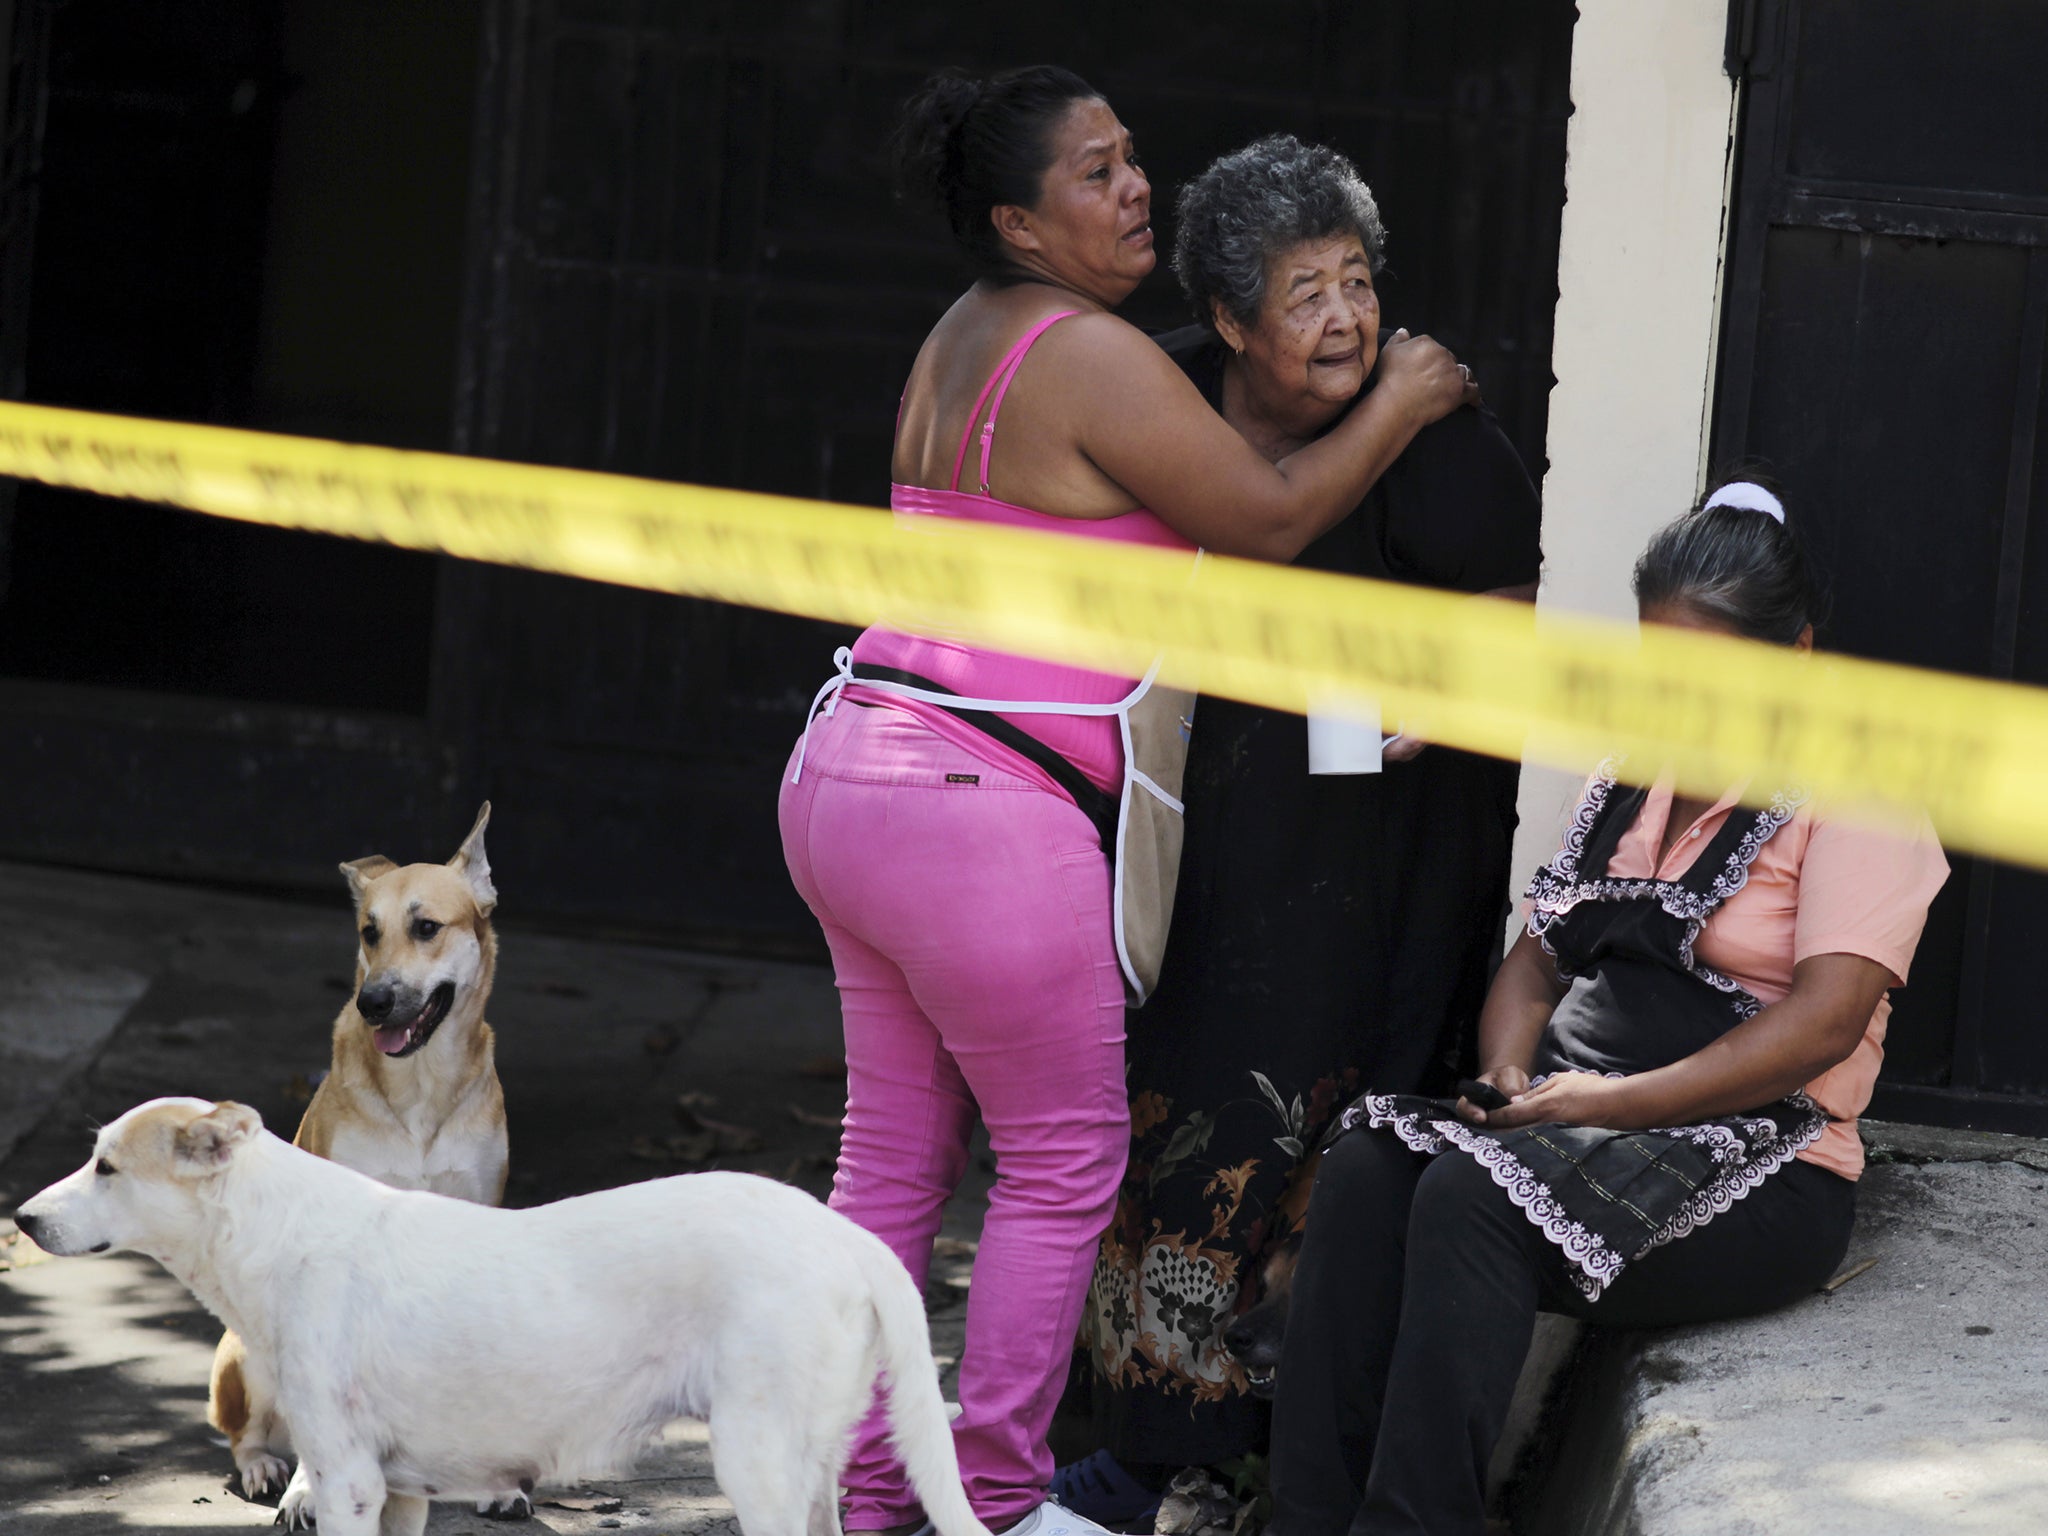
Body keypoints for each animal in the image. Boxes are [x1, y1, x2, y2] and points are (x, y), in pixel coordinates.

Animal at [18, 1097, 991, 1536]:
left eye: (107, 1168)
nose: (20, 1219)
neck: (273, 1228)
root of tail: (844, 1237)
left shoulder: (349, 1483)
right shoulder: (399, 1492)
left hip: (756, 1464)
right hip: (809, 1465)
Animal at [208, 806, 516, 1515]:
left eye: (426, 927)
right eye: (368, 932)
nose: (373, 1001)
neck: (422, 1089)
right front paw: (306, 1492)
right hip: (246, 1358)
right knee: (250, 1430)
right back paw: (271, 1469)